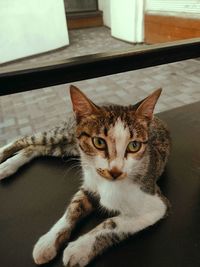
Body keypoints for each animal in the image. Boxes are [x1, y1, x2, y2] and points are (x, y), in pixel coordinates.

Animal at [0, 86, 170, 267]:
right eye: (99, 142)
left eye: (134, 145)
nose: (115, 171)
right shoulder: (90, 183)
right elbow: (73, 208)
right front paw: (48, 241)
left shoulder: (156, 204)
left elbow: (112, 223)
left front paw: (79, 248)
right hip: (63, 134)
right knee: (26, 139)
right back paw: (4, 161)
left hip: (67, 147)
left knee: (36, 148)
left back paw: (8, 166)